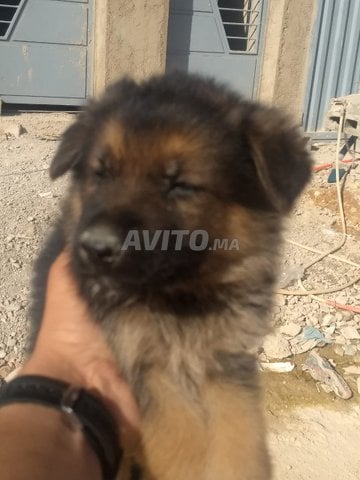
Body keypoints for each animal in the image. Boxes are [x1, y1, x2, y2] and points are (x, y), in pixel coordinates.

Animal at [30, 72, 312, 480]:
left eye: (181, 186)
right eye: (102, 173)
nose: (96, 248)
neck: (181, 298)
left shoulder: (225, 361)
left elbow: (240, 434)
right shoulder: (143, 364)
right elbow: (180, 438)